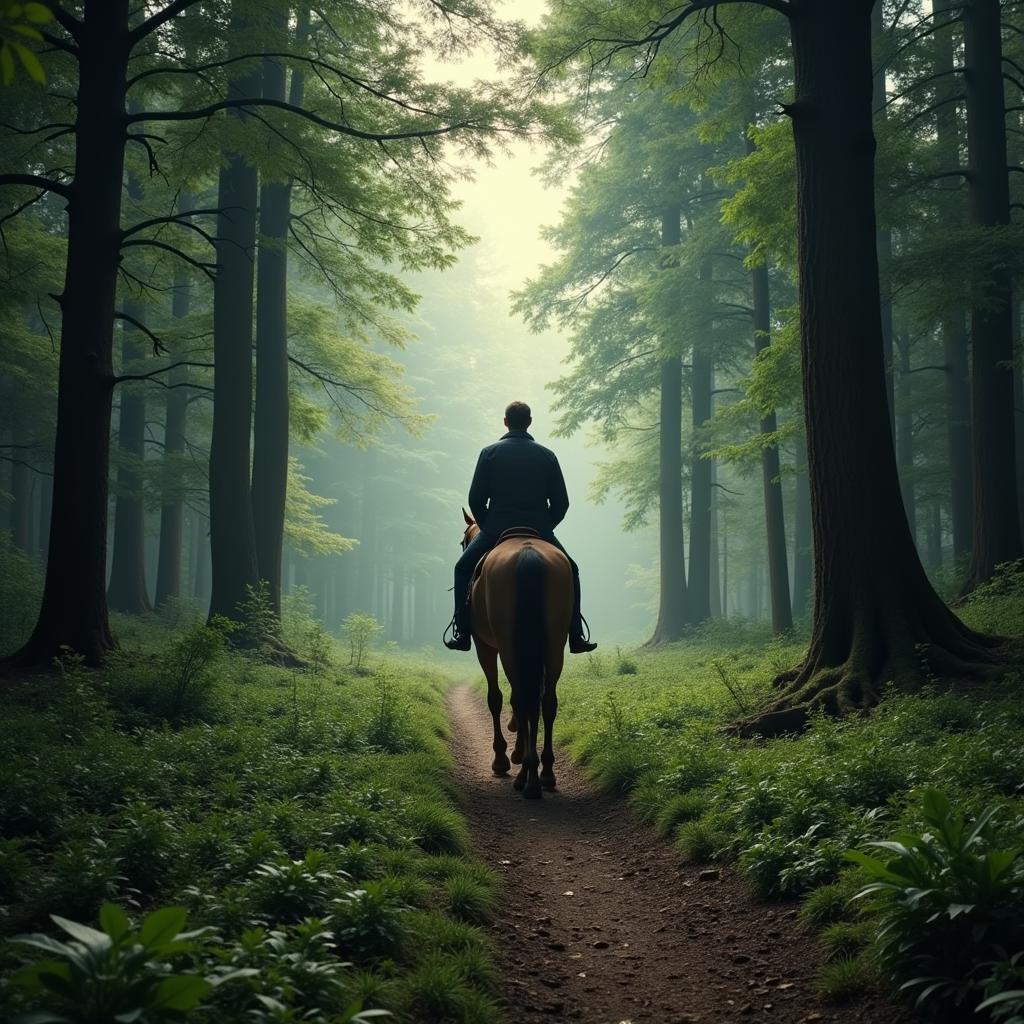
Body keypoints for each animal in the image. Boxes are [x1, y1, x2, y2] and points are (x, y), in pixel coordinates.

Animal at [460, 512, 573, 798]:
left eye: (462, 542)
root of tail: (528, 555)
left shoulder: (485, 646)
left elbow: (496, 698)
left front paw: (503, 758)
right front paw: (519, 752)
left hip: (510, 646)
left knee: (523, 699)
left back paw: (527, 779)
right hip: (553, 647)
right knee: (546, 702)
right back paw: (545, 773)